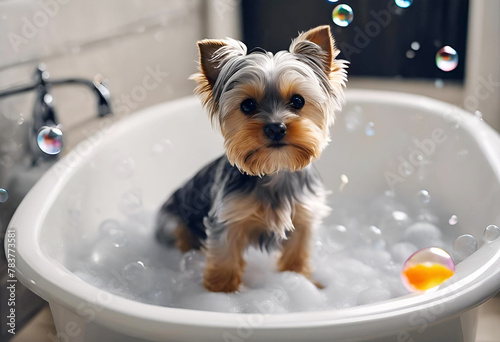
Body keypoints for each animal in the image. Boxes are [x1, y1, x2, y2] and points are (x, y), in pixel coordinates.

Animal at [156, 25, 348, 292]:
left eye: (298, 100)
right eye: (247, 105)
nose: (276, 127)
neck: (274, 169)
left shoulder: (303, 219)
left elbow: (297, 256)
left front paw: (302, 281)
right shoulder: (226, 221)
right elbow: (224, 260)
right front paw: (221, 293)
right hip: (173, 222)